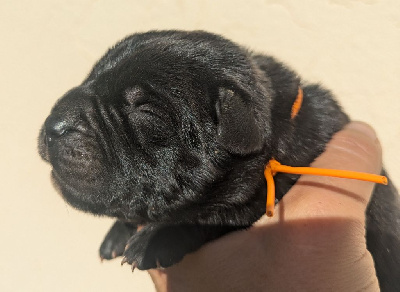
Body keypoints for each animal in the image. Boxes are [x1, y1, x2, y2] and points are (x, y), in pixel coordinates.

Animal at [38, 30, 400, 290]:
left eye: (146, 112)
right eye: (89, 78)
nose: (54, 124)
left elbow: (217, 214)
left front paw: (155, 237)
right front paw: (118, 231)